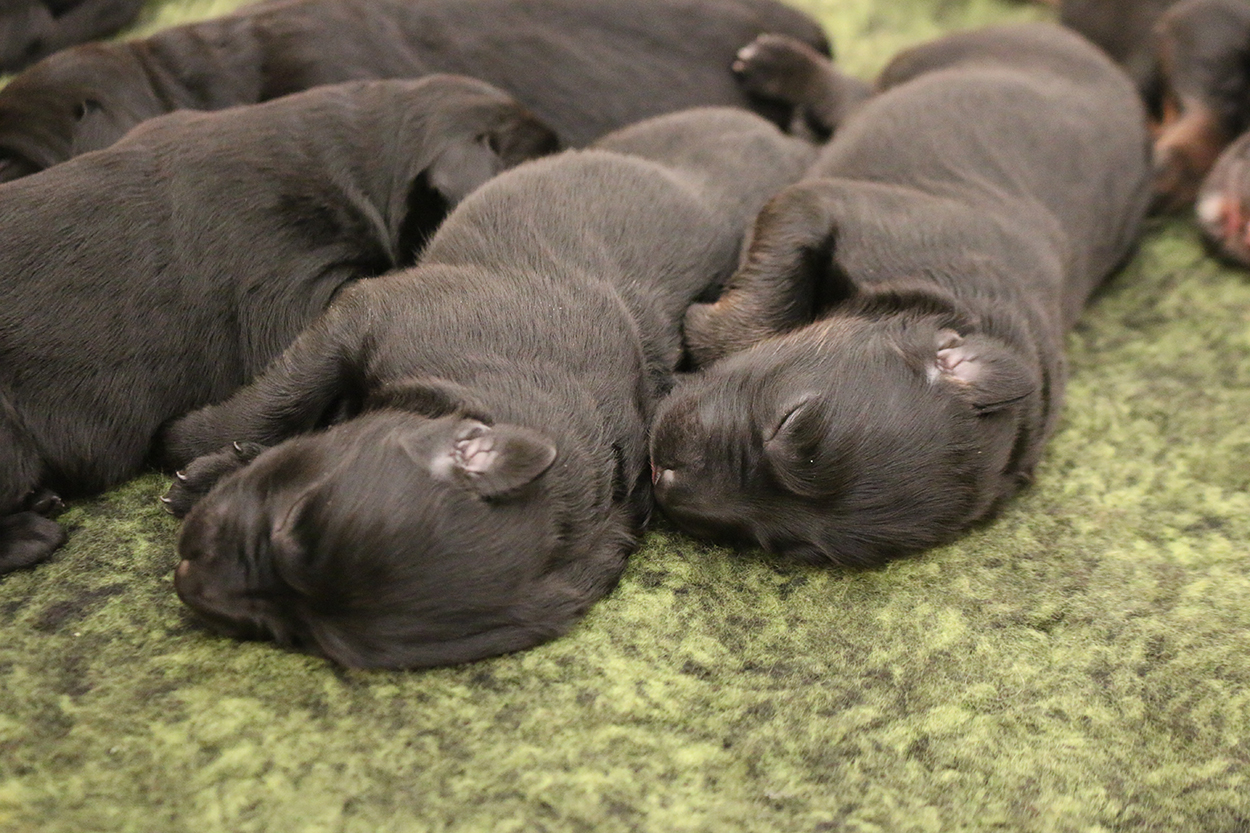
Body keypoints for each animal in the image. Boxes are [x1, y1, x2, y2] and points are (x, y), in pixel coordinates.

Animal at [156, 107, 817, 669]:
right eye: (291, 521)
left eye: (297, 635)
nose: (189, 575)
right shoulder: (363, 316)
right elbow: (280, 398)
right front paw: (193, 444)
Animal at [648, 25, 1152, 566]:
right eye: (790, 421)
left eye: (786, 546)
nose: (663, 478)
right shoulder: (820, 205)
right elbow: (760, 303)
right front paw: (702, 327)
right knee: (855, 94)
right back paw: (777, 64)